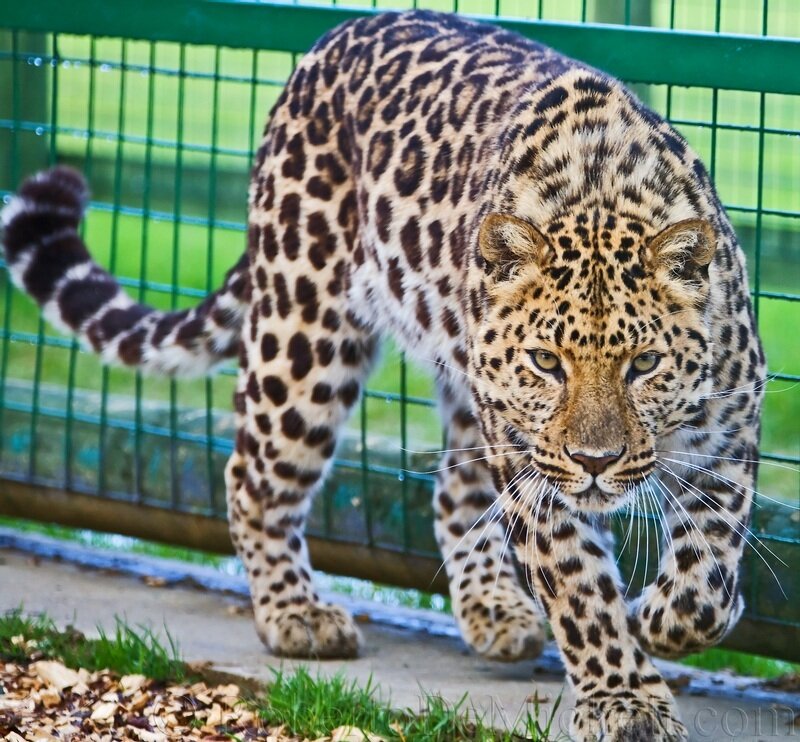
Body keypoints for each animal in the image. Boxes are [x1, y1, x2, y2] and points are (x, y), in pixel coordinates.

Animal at [2, 10, 765, 740]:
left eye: (645, 364)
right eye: (547, 362)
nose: (596, 462)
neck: (602, 195)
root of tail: (333, 36)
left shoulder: (731, 431)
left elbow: (710, 565)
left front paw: (669, 617)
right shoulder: (534, 463)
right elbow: (580, 593)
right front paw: (624, 699)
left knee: (452, 492)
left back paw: (494, 608)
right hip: (304, 340)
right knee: (252, 476)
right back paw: (298, 615)